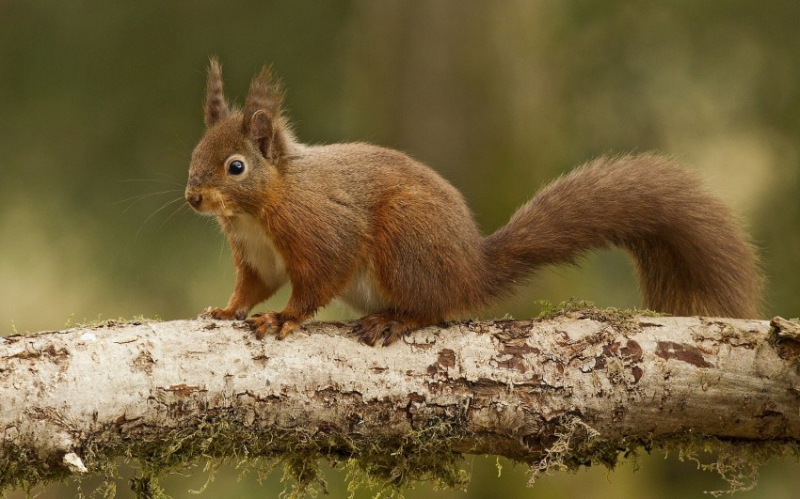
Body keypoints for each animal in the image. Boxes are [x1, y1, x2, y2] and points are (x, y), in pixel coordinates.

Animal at [186, 58, 764, 346]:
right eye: (195, 153)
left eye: (236, 166)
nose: (193, 198)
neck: (258, 211)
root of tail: (470, 269)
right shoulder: (256, 254)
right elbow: (254, 285)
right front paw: (227, 309)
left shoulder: (319, 228)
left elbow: (318, 278)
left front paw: (284, 319)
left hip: (407, 240)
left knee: (433, 308)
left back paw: (396, 320)